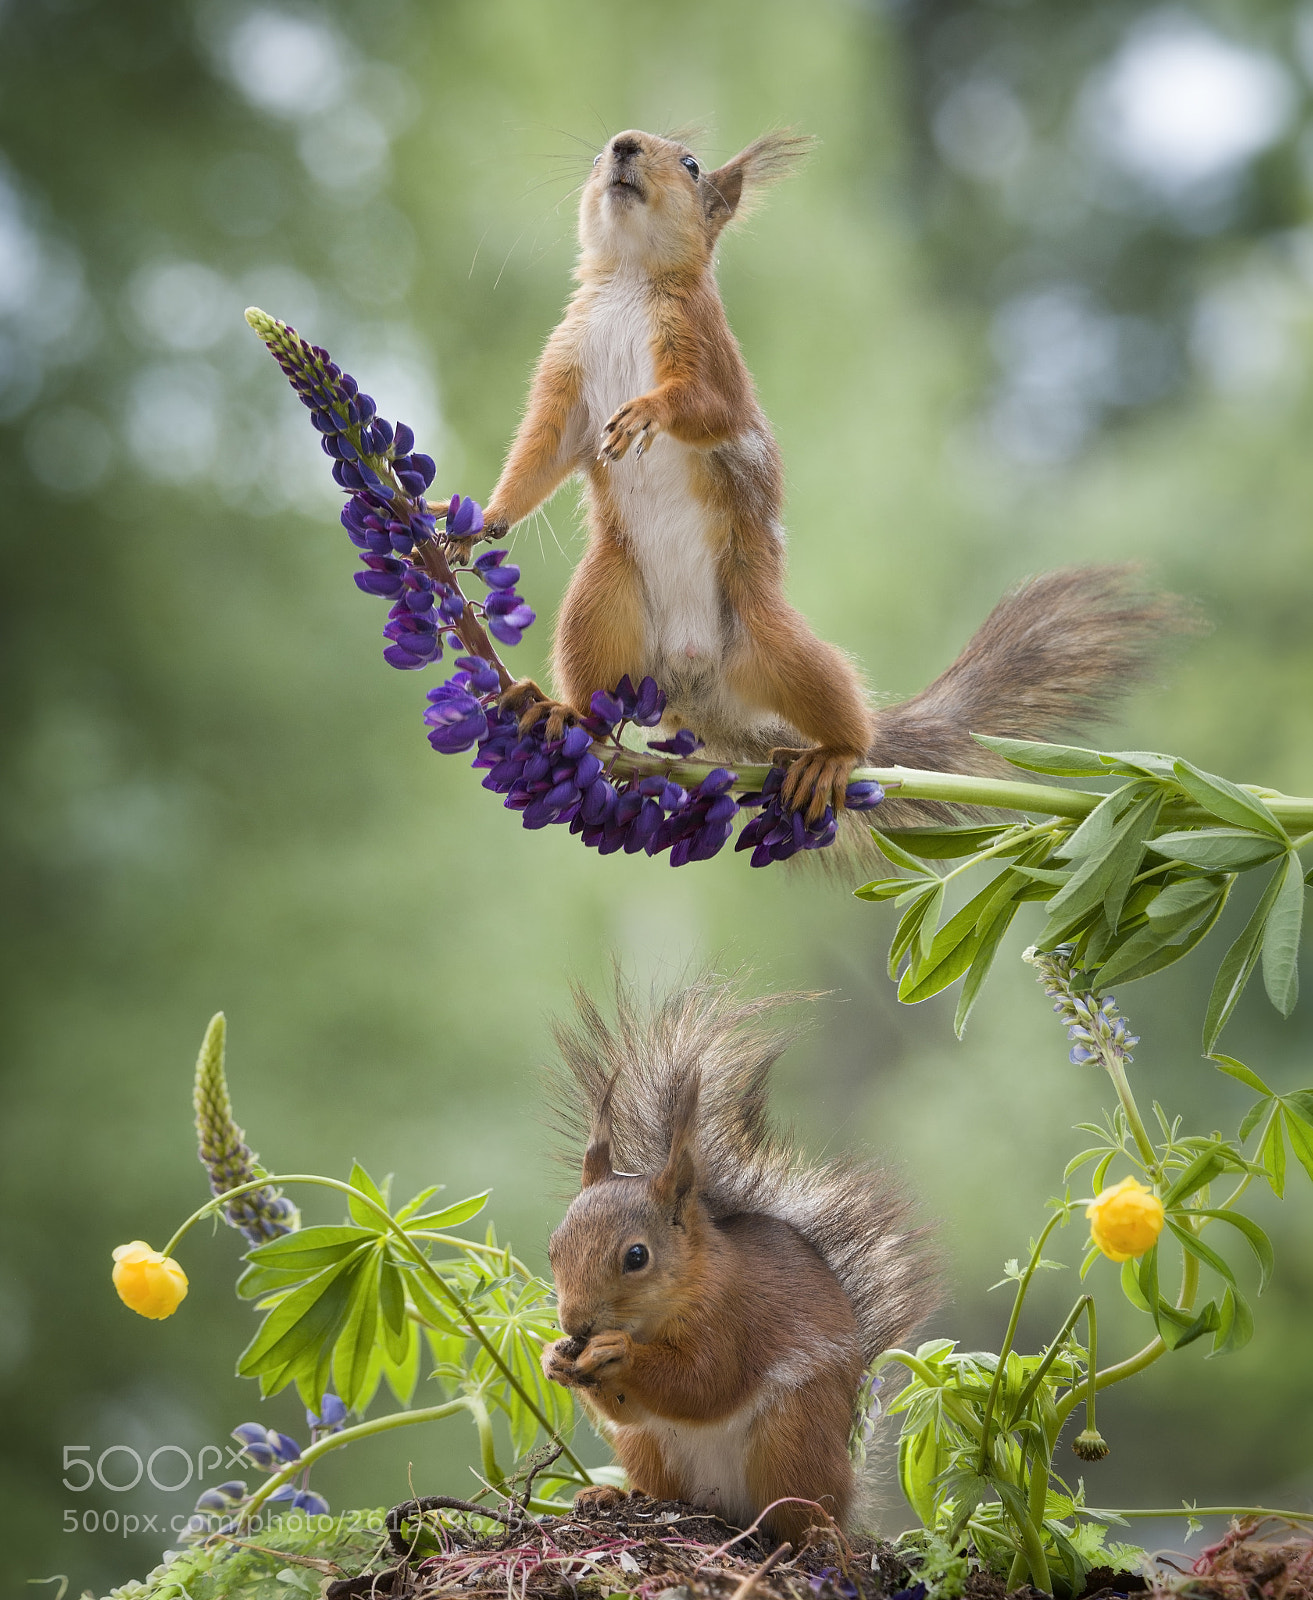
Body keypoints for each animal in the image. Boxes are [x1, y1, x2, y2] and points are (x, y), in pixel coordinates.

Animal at [477, 127, 1187, 827]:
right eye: (606, 146)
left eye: (691, 163)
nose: (622, 144)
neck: (628, 281)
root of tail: (692, 693)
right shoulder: (566, 364)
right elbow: (541, 452)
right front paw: (484, 522)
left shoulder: (706, 346)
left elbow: (709, 409)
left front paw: (650, 411)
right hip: (602, 607)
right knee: (597, 705)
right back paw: (562, 711)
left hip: (777, 645)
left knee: (843, 715)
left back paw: (834, 757)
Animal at [539, 975, 935, 1546]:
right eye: (554, 1246)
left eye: (636, 1255)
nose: (574, 1324)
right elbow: (634, 1408)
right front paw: (554, 1356)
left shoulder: (732, 1317)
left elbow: (705, 1383)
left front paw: (618, 1352)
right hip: (652, 1452)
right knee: (657, 1478)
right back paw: (611, 1495)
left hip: (792, 1438)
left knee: (802, 1512)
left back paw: (818, 1535)